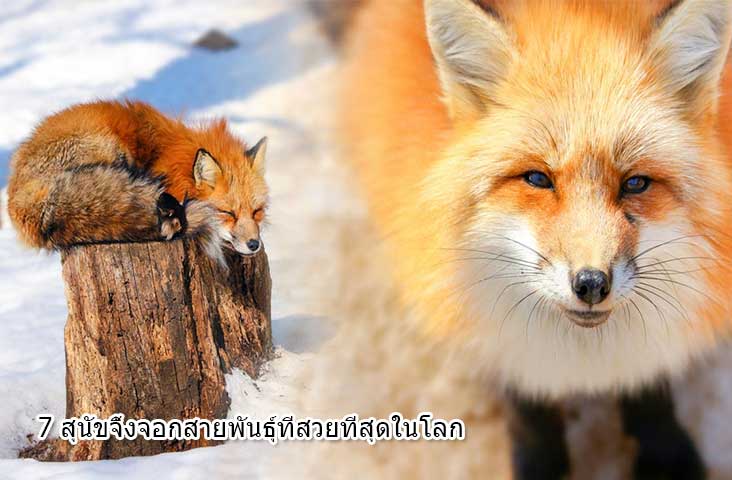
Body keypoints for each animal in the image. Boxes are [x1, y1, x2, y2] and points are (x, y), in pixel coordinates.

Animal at [339, 0, 732, 477]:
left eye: (636, 183)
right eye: (538, 179)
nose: (591, 284)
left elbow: (651, 389)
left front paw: (664, 455)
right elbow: (528, 411)